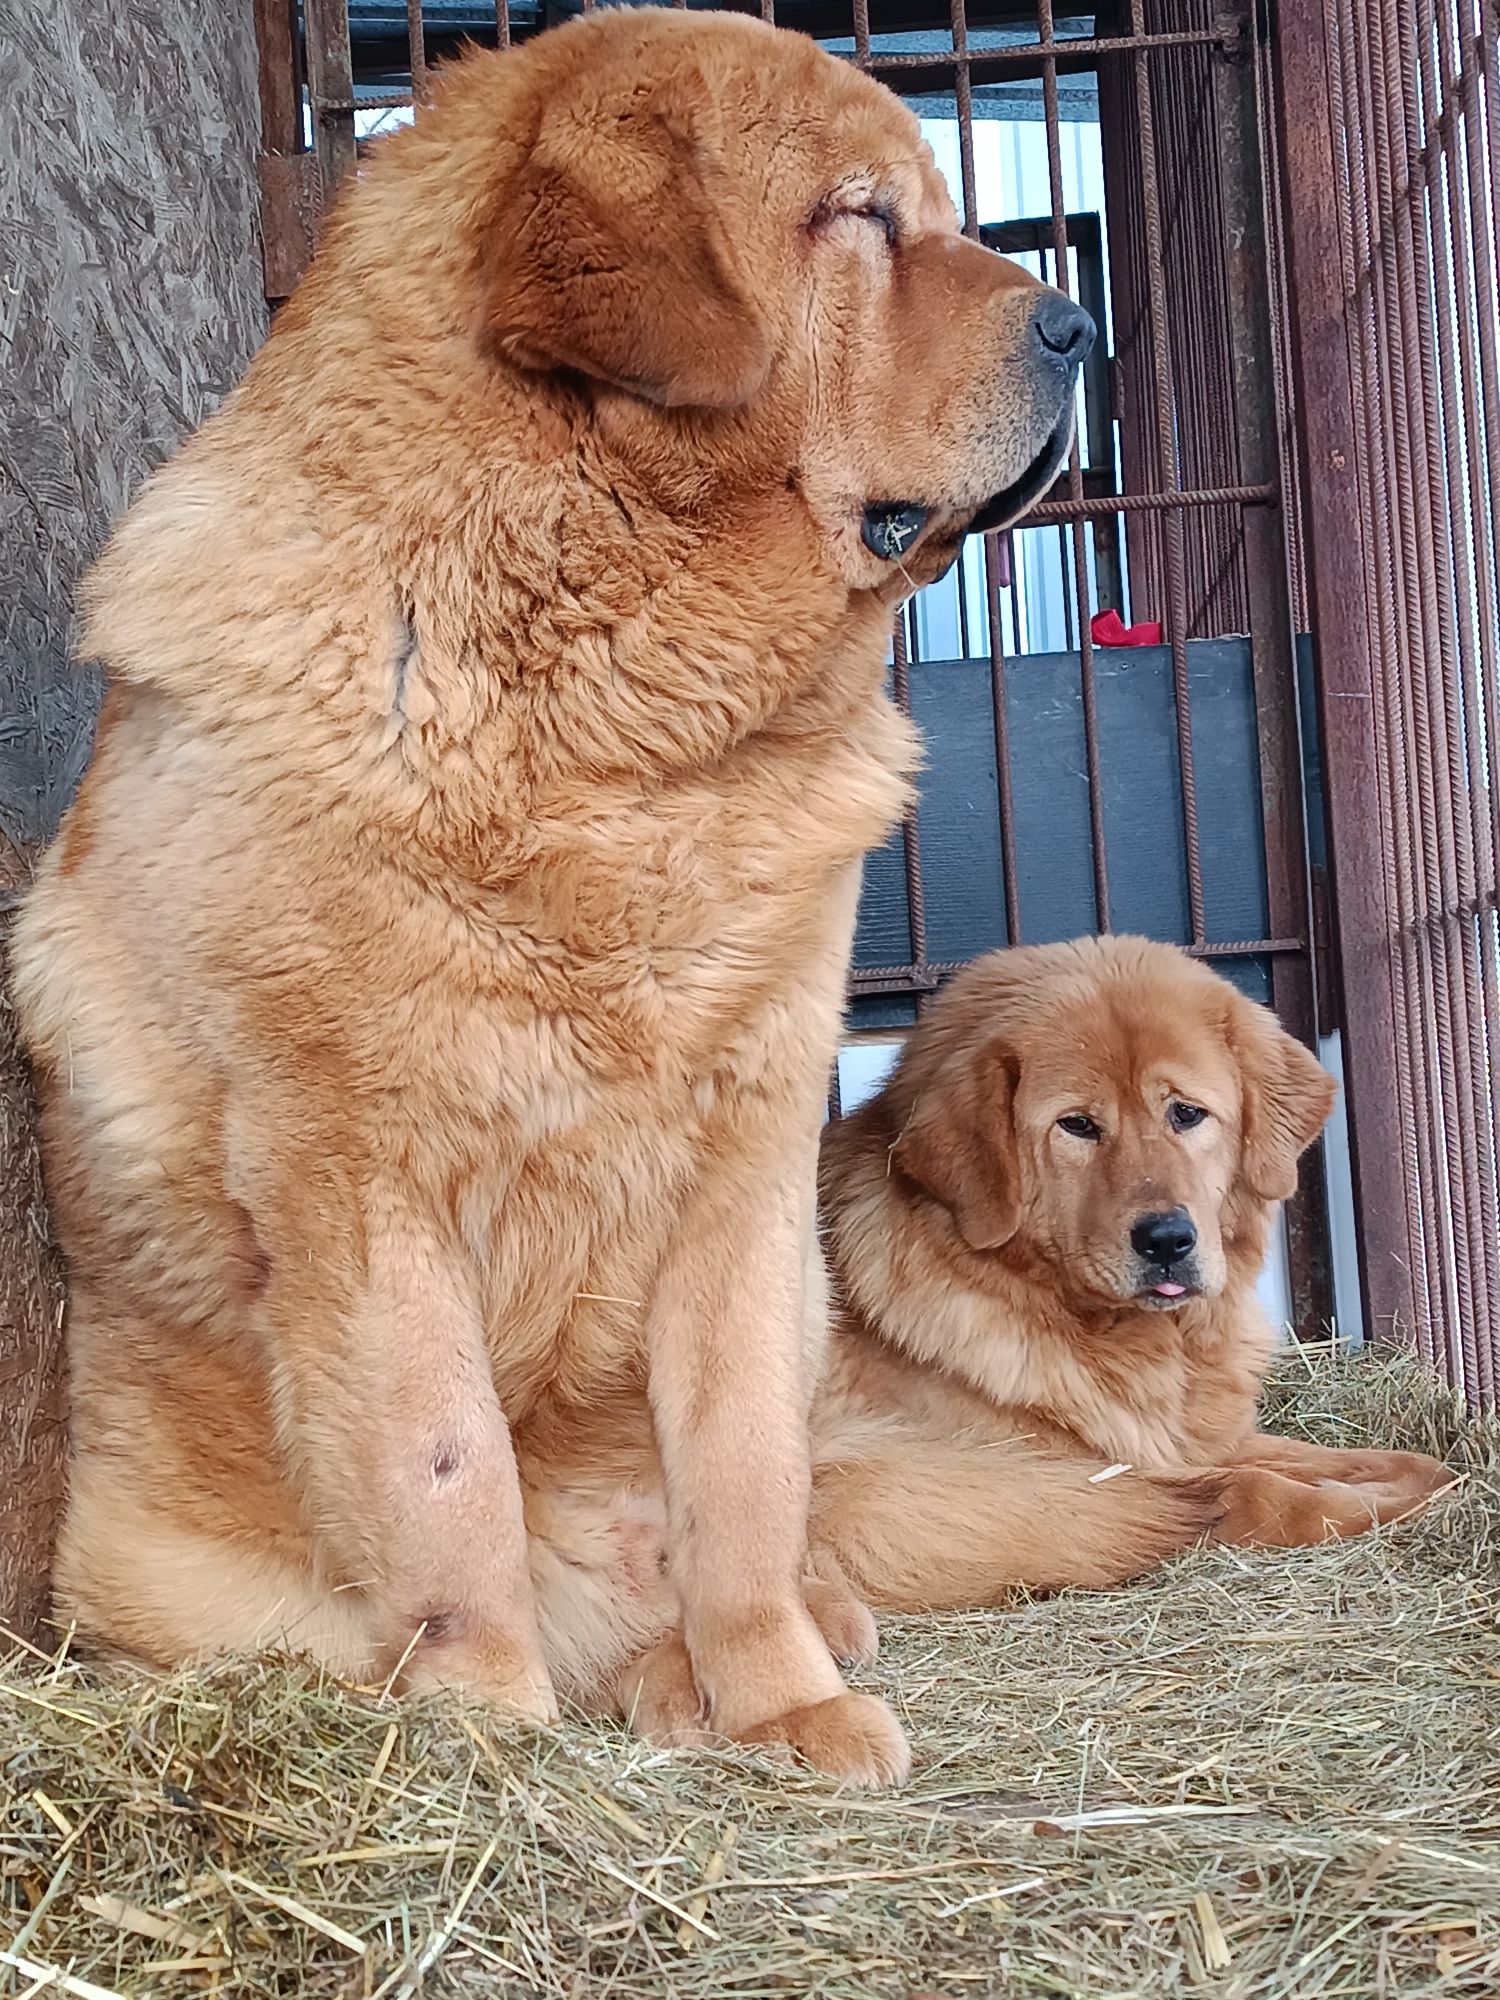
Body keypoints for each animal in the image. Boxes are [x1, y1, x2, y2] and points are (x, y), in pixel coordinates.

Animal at [14, 7, 1096, 1792]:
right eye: (858, 217)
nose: (1082, 318)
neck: (620, 744)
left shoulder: (746, 1175)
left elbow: (743, 1471)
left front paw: (778, 1698)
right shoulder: (363, 1181)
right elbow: (451, 1477)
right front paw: (491, 1745)